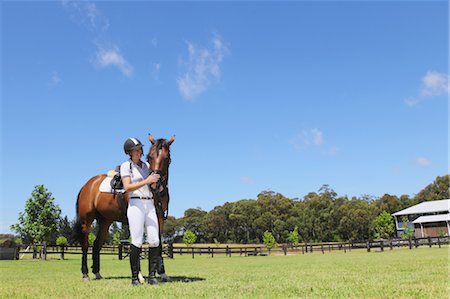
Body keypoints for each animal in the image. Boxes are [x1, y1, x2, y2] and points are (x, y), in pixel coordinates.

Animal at [74, 135, 174, 282]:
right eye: (150, 157)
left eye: (166, 158)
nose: (154, 185)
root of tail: (87, 185)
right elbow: (137, 245)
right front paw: (139, 276)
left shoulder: (160, 218)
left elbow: (158, 244)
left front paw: (161, 273)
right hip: (86, 221)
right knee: (86, 245)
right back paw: (85, 274)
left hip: (105, 221)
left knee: (97, 244)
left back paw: (97, 273)